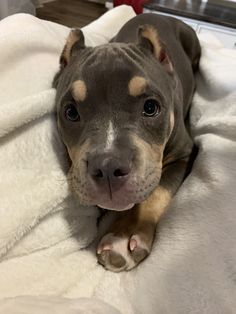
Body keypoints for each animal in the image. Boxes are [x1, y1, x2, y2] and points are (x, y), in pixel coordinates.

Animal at [54, 13, 201, 272]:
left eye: (151, 107)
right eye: (70, 112)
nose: (107, 168)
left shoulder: (183, 155)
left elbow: (157, 192)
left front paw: (126, 234)